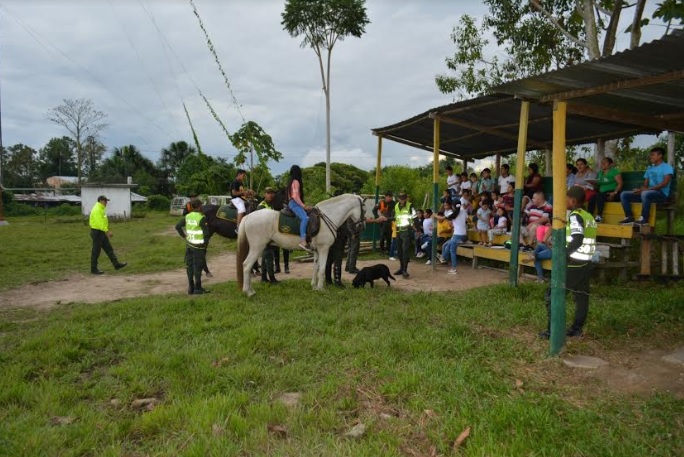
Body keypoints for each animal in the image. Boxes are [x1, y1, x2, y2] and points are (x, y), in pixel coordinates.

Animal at [236, 193, 366, 296]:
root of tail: (248, 216)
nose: (361, 227)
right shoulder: (324, 248)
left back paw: (251, 290)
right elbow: (322, 268)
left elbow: (316, 267)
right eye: (364, 209)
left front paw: (314, 286)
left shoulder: (316, 250)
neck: (327, 217)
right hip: (257, 248)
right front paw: (321, 288)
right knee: (247, 265)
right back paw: (248, 292)